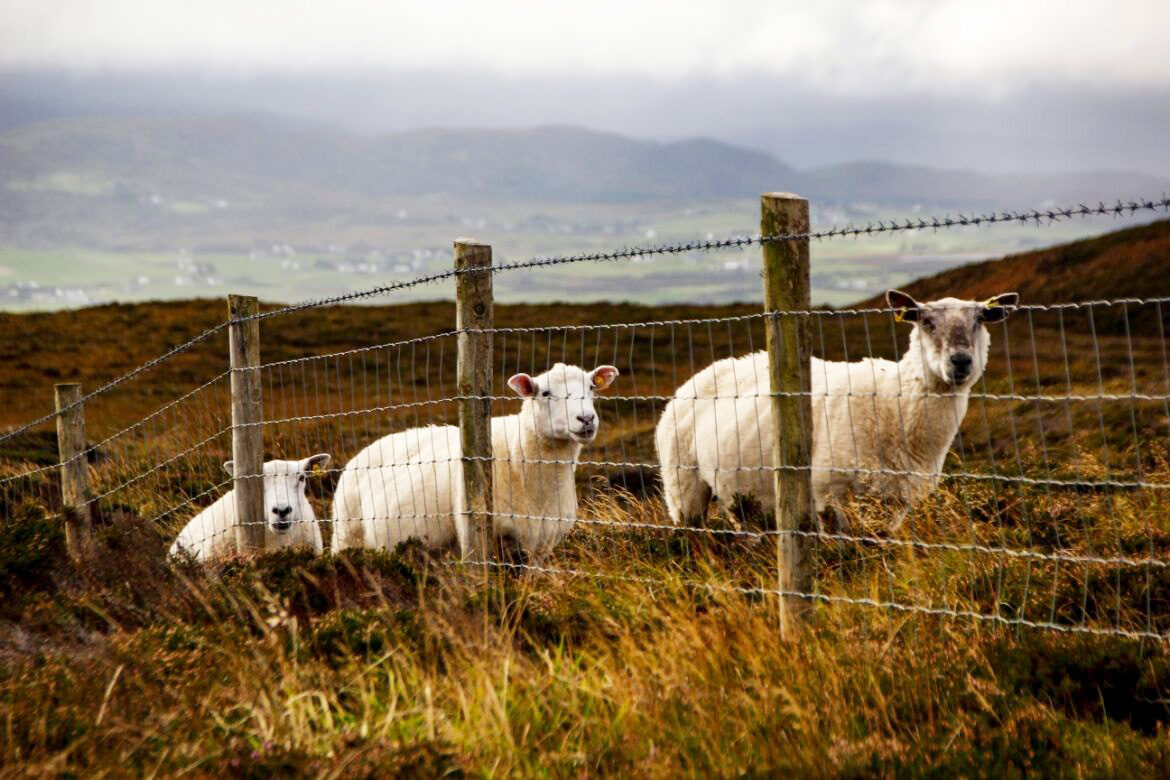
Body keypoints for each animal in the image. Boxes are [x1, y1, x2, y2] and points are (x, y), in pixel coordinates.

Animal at [329, 362, 622, 558]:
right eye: (545, 393)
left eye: (591, 387)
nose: (586, 419)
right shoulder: (477, 536)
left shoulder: (542, 544)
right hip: (347, 534)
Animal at [655, 291, 1020, 530]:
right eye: (926, 321)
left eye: (979, 320)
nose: (961, 362)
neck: (893, 402)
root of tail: (697, 377)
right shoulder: (828, 492)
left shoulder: (895, 503)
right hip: (682, 484)